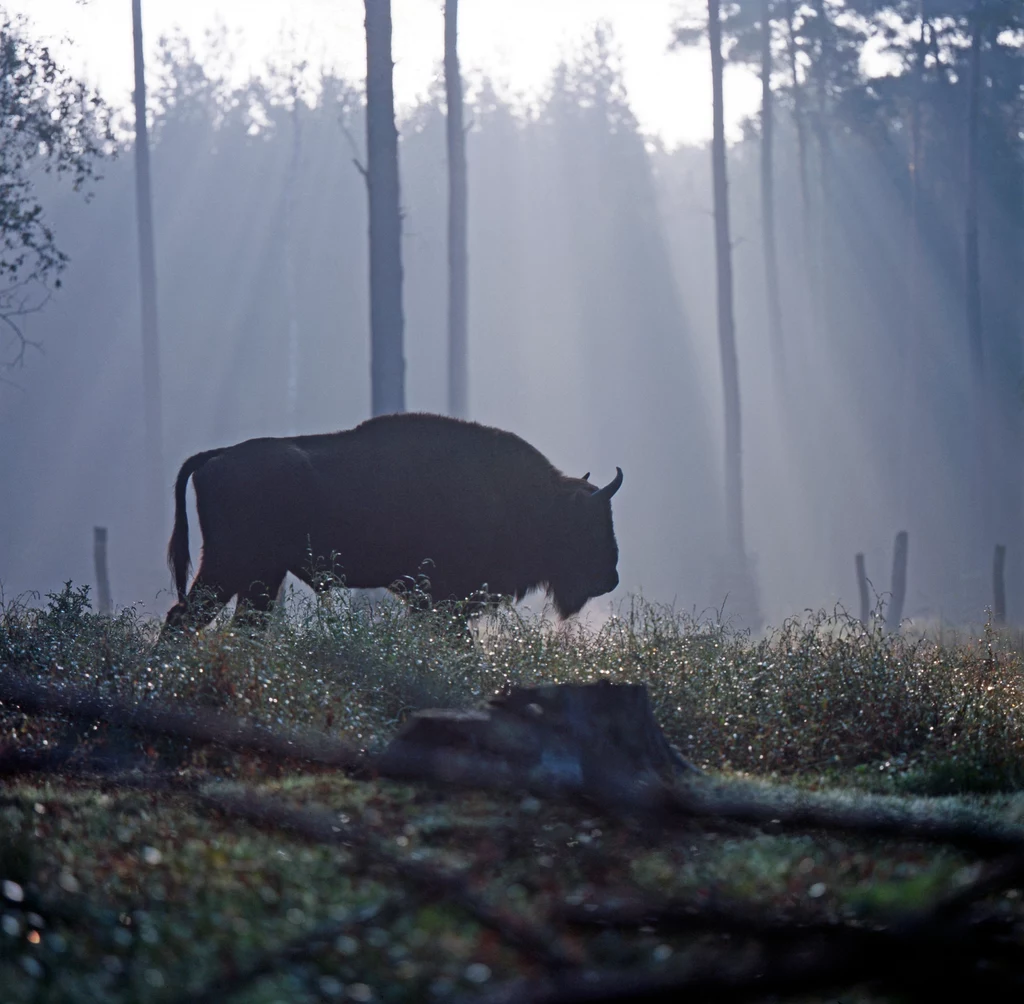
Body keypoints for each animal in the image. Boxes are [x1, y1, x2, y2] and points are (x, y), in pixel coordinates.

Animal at [165, 411, 622, 631]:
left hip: (260, 576)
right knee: (183, 618)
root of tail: (215, 457)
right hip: (228, 567)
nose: (610, 577)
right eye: (589, 523)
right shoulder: (441, 598)